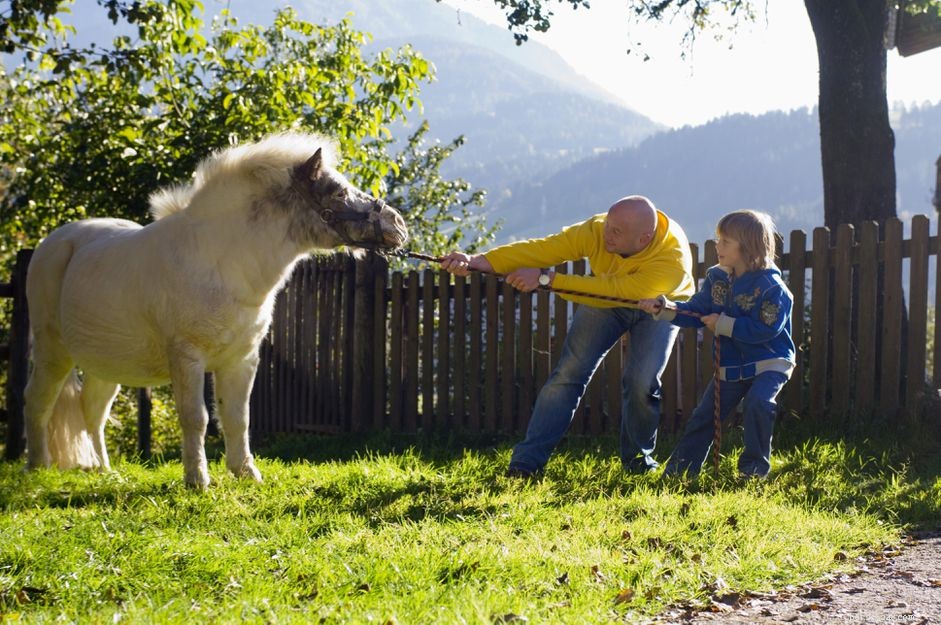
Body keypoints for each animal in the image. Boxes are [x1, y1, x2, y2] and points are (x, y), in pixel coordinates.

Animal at [23, 132, 408, 488]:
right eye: (339, 193)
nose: (398, 225)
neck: (221, 262)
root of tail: (52, 244)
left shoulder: (241, 359)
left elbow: (238, 417)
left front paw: (246, 473)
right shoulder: (187, 358)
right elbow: (197, 418)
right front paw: (197, 479)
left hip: (106, 364)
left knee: (93, 412)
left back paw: (105, 472)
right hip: (53, 353)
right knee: (38, 402)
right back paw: (37, 467)